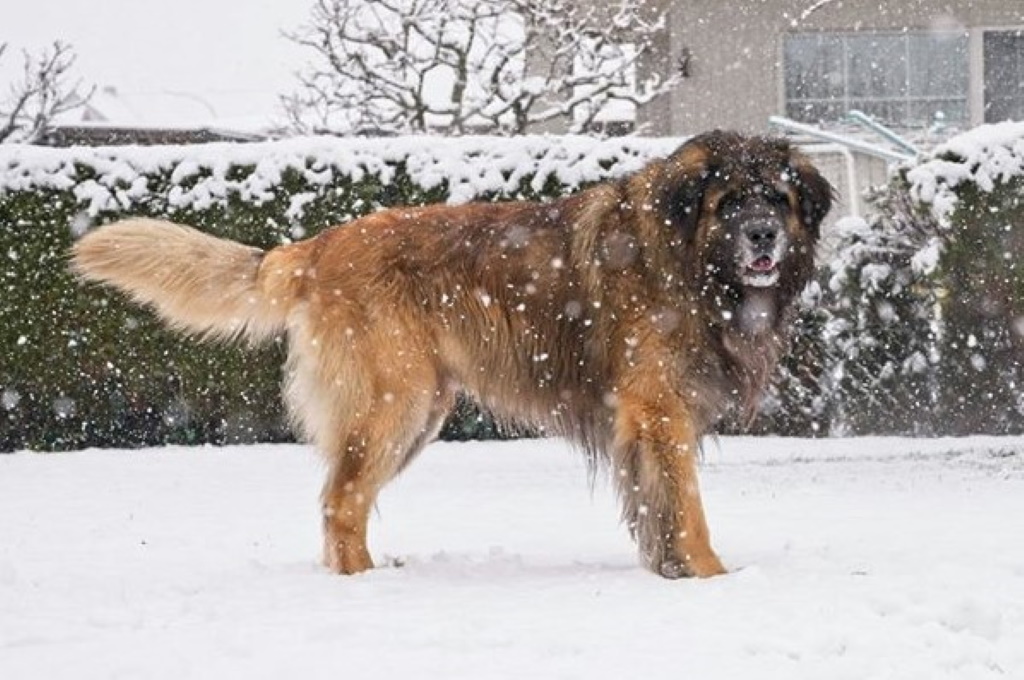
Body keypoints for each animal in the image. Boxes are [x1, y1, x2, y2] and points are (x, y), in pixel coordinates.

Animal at [77, 130, 831, 577]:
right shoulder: (659, 408)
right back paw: (362, 582)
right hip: (395, 402)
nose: (763, 235)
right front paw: (711, 574)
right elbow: (686, 505)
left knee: (341, 498)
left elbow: (653, 506)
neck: (681, 254)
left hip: (416, 412)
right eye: (730, 202)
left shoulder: (643, 421)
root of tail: (318, 246)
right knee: (340, 499)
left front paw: (668, 570)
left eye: (777, 198)